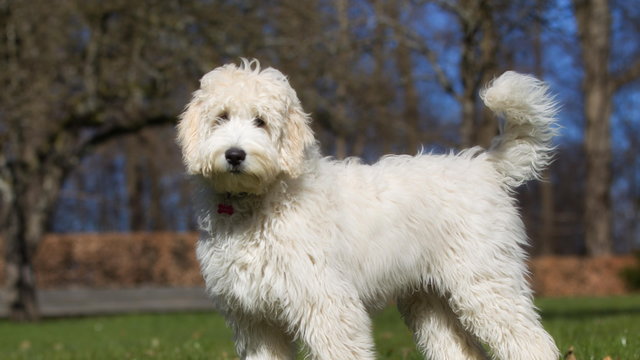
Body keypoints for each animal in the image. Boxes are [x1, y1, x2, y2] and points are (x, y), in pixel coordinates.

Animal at [176, 59, 560, 360]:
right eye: (221, 117)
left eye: (261, 121)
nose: (235, 155)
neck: (258, 202)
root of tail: (485, 166)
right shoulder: (255, 319)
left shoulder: (327, 302)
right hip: (431, 300)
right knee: (460, 350)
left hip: (485, 281)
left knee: (531, 342)